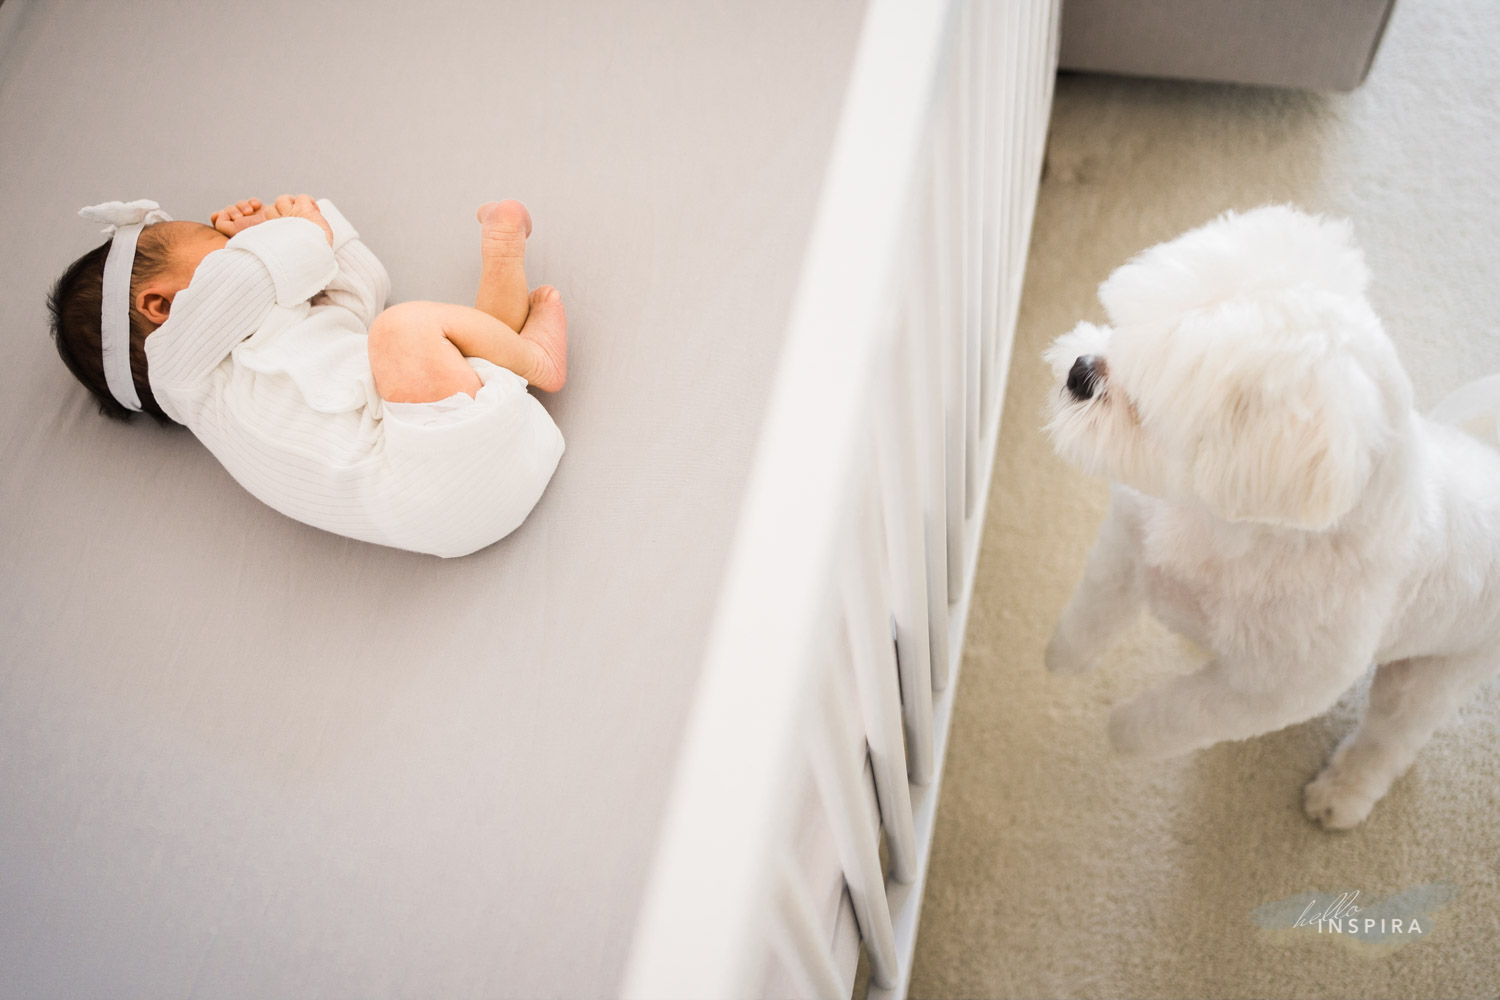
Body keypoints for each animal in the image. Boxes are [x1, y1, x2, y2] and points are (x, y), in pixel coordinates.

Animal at [1044, 203, 1500, 827]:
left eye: (1149, 402)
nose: (1080, 371)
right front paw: (1063, 656)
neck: (1222, 530)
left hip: (1438, 672)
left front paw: (1123, 732)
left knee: (1392, 735)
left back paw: (1341, 797)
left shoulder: (1270, 692)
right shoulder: (1125, 546)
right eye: (1125, 329)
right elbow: (1094, 610)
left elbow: (1178, 714)